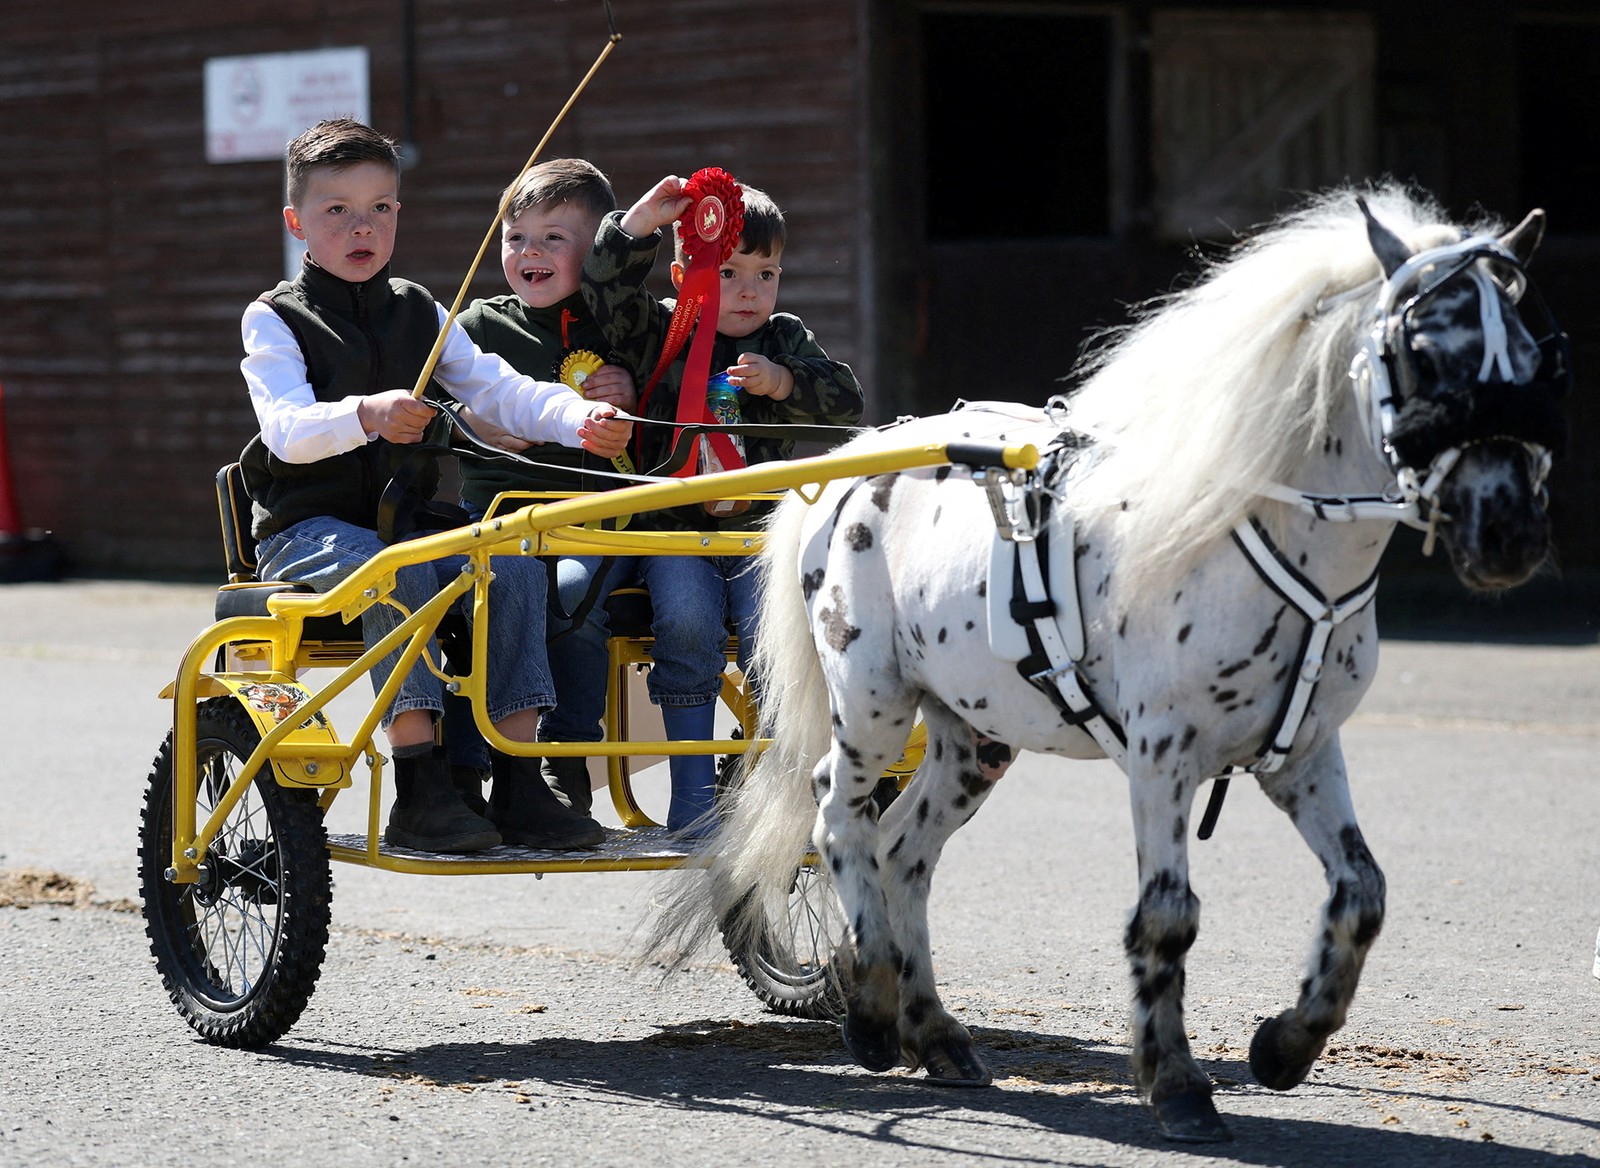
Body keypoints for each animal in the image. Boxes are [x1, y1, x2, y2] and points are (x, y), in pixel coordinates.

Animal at [641, 182, 1571, 1143]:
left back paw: (936, 1032)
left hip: (972, 736)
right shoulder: (1163, 756)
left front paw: (1285, 1045)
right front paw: (1179, 1084)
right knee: (837, 819)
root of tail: (852, 467)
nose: (1508, 530)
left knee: (903, 849)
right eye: (1422, 351)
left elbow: (1363, 894)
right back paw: (868, 1012)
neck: (1248, 527)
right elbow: (1166, 918)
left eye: (1536, 355)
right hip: (871, 703)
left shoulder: (1306, 753)